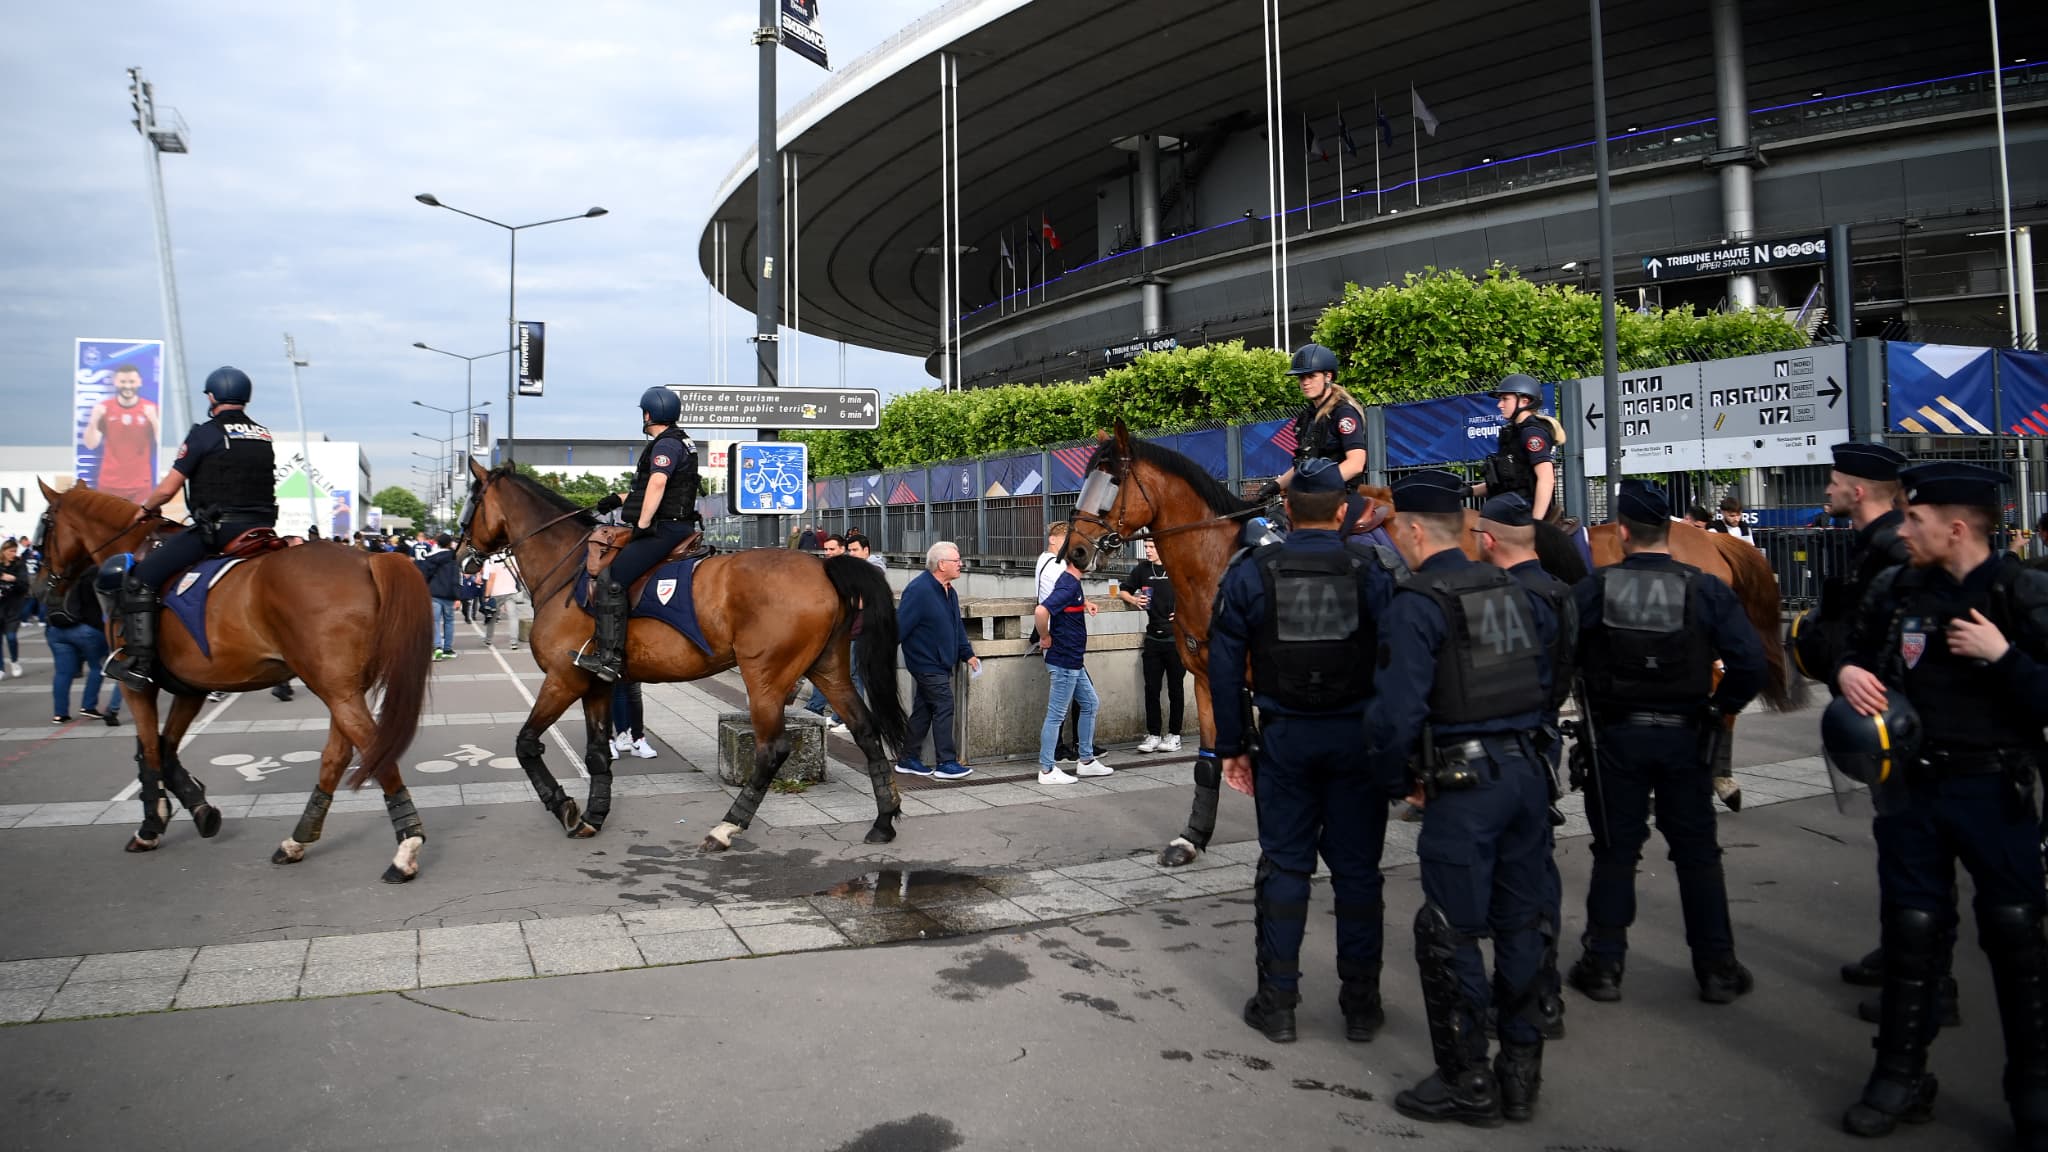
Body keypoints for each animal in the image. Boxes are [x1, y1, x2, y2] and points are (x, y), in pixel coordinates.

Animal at [29, 475, 438, 877]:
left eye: (43, 527)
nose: (42, 593)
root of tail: (370, 559)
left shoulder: (137, 687)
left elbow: (151, 751)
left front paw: (152, 825)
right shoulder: (190, 688)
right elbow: (166, 747)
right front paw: (198, 806)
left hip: (336, 690)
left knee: (374, 750)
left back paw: (405, 849)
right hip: (342, 689)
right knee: (338, 755)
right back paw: (298, 841)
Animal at [468, 459, 917, 852]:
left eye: (473, 499)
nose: (463, 551)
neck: (568, 570)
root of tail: (823, 567)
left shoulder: (563, 679)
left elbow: (526, 744)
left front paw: (563, 806)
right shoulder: (594, 685)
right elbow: (596, 754)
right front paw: (593, 815)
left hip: (766, 677)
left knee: (773, 749)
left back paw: (727, 827)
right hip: (828, 667)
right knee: (865, 730)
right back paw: (883, 820)